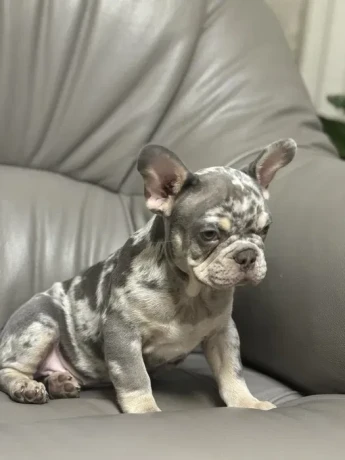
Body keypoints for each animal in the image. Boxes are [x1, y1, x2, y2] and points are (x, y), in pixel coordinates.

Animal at [0, 139, 296, 414]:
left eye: (265, 229)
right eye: (209, 234)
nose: (247, 255)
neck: (189, 291)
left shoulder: (222, 333)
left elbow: (232, 372)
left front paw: (247, 403)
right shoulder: (122, 331)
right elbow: (134, 376)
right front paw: (145, 411)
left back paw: (60, 382)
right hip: (40, 324)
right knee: (8, 368)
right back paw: (26, 386)